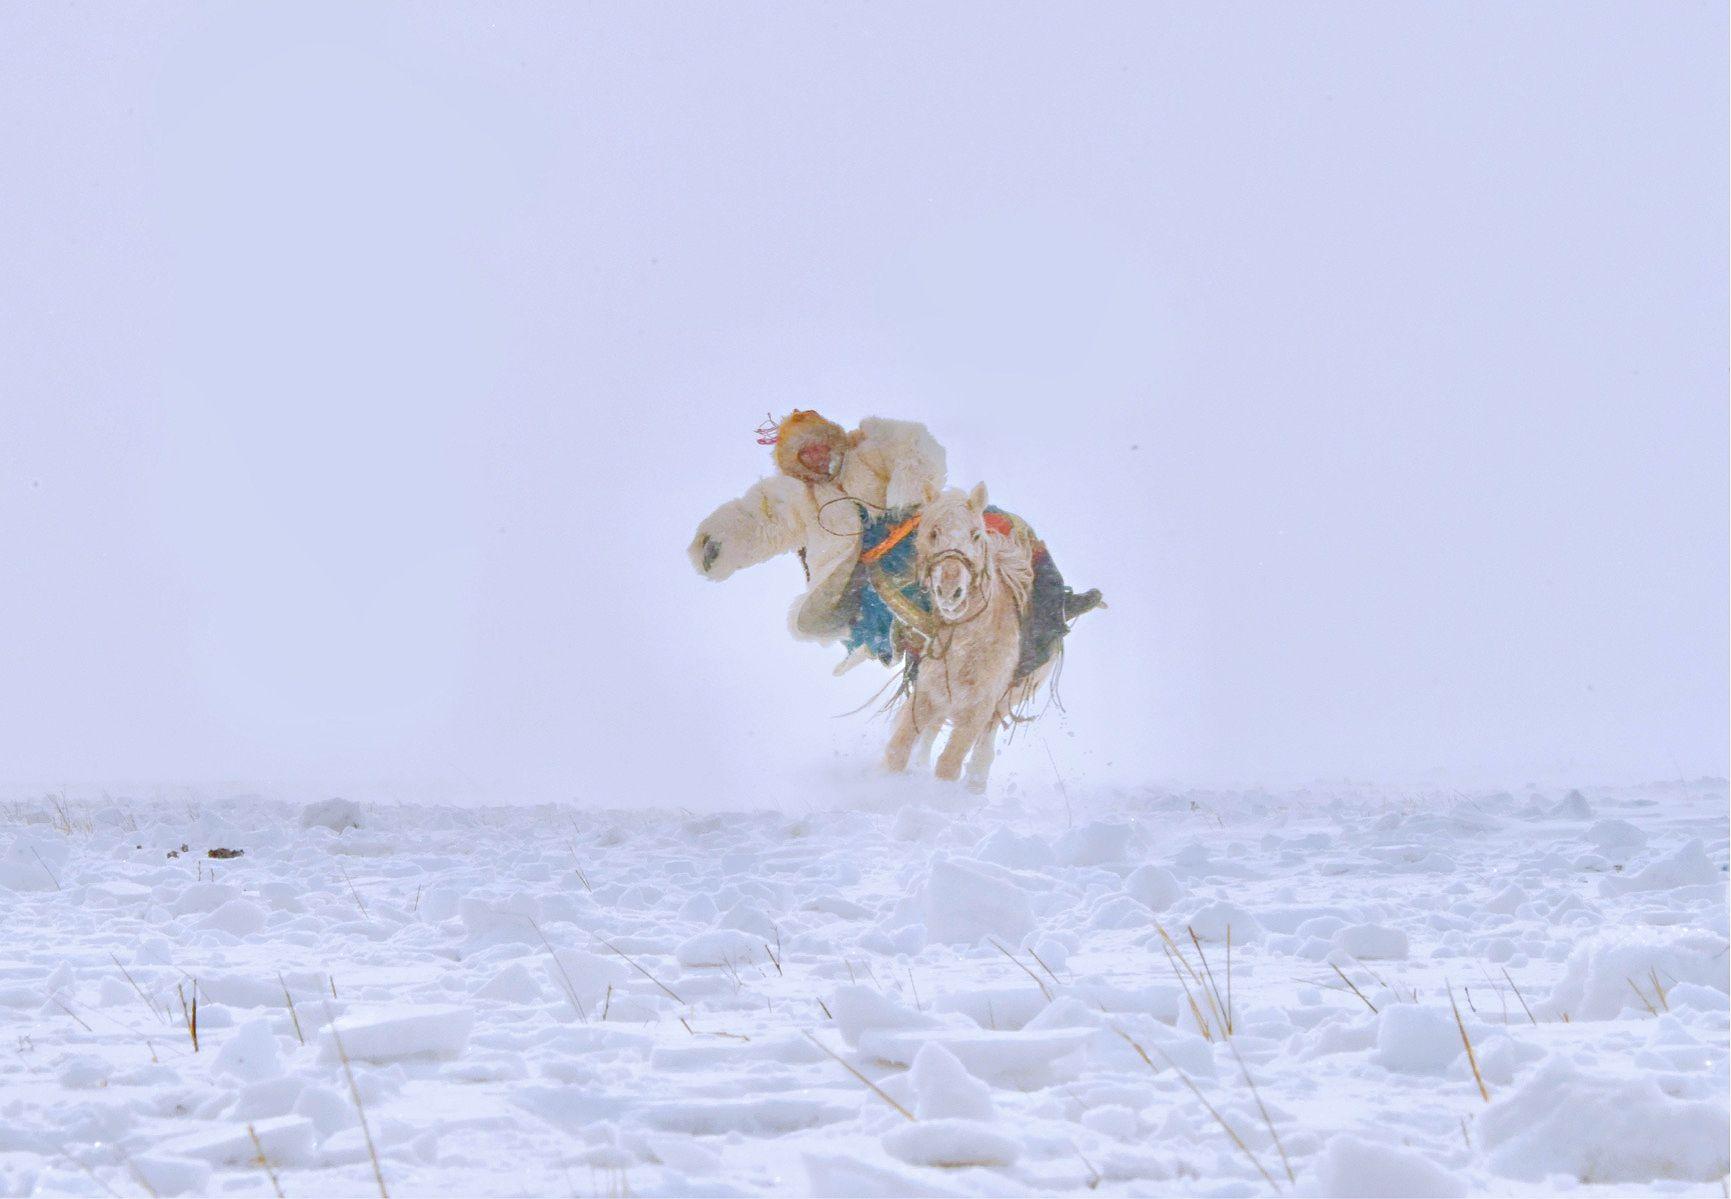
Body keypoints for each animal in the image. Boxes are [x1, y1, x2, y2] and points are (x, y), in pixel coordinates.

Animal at [882, 482, 1055, 793]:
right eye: (932, 532)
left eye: (976, 533)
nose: (951, 592)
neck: (965, 645)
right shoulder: (927, 694)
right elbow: (898, 749)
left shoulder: (978, 709)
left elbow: (949, 765)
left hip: (1003, 704)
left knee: (983, 751)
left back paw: (975, 786)